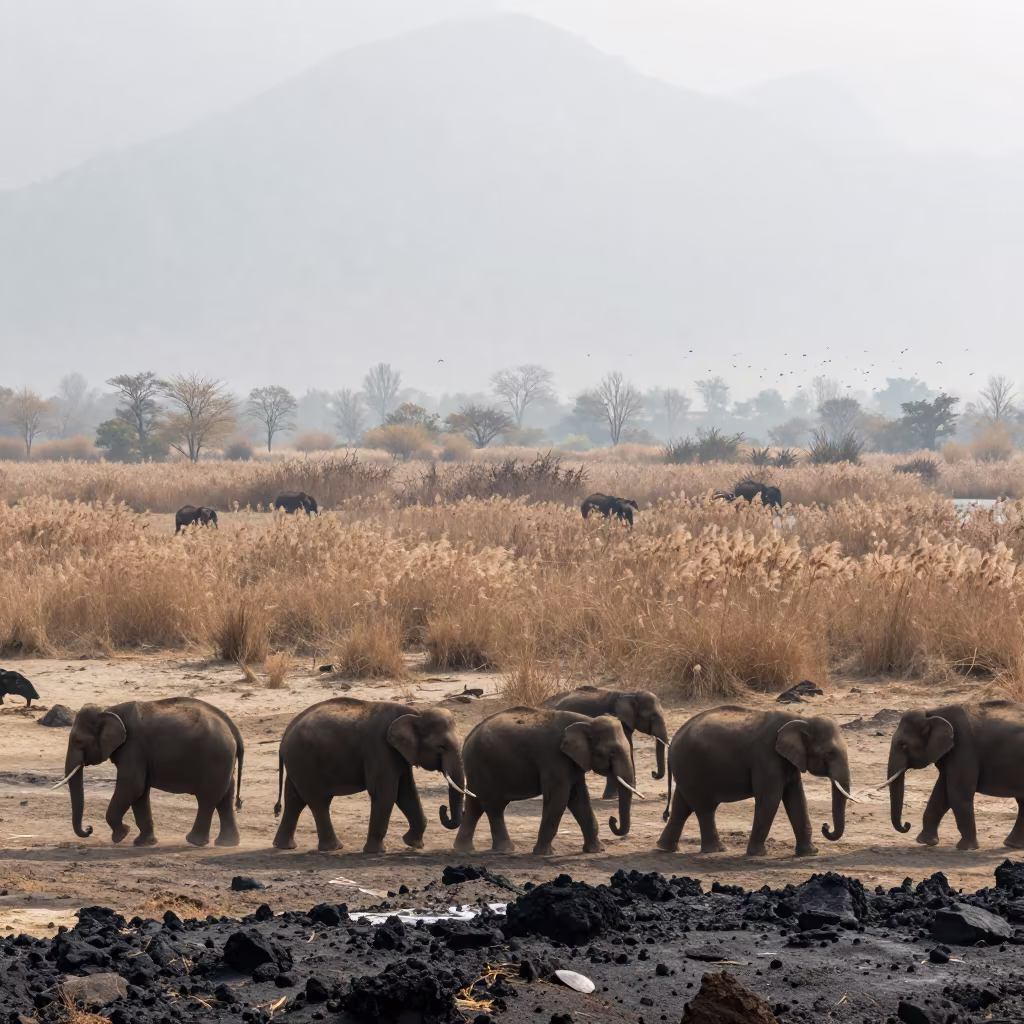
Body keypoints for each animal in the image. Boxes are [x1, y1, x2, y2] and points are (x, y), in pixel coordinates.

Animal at [54, 697, 244, 847]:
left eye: (78, 741)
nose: (89, 828)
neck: (109, 709)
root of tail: (233, 729)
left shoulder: (133, 746)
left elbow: (132, 787)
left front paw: (121, 835)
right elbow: (140, 792)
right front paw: (143, 843)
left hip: (216, 758)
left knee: (207, 799)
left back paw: (194, 841)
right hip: (225, 761)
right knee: (225, 797)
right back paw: (226, 843)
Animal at [272, 697, 467, 853]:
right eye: (442, 746)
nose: (443, 808)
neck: (415, 714)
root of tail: (284, 736)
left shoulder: (398, 755)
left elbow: (406, 794)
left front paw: (413, 844)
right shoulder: (380, 748)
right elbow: (386, 794)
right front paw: (376, 852)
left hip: (298, 765)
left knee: (294, 800)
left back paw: (284, 847)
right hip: (305, 762)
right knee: (319, 802)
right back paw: (334, 848)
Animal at [453, 706, 643, 856]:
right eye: (611, 752)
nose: (613, 820)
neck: (587, 721)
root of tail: (468, 737)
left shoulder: (571, 762)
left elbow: (579, 799)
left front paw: (596, 851)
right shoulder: (554, 758)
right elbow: (559, 799)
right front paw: (543, 854)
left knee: (475, 805)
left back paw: (463, 849)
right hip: (483, 767)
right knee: (494, 807)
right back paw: (505, 849)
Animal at [657, 706, 855, 857]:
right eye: (830, 754)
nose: (825, 826)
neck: (802, 719)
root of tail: (672, 743)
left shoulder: (789, 760)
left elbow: (796, 797)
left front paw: (809, 853)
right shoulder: (766, 756)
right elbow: (771, 798)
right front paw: (757, 854)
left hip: (687, 771)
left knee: (682, 805)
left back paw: (665, 848)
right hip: (691, 767)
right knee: (705, 808)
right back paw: (716, 850)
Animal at [882, 700, 1024, 851]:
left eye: (903, 745)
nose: (907, 825)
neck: (931, 713)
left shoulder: (964, 748)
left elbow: (959, 792)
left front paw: (966, 848)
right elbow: (942, 792)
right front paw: (926, 842)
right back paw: (1012, 845)